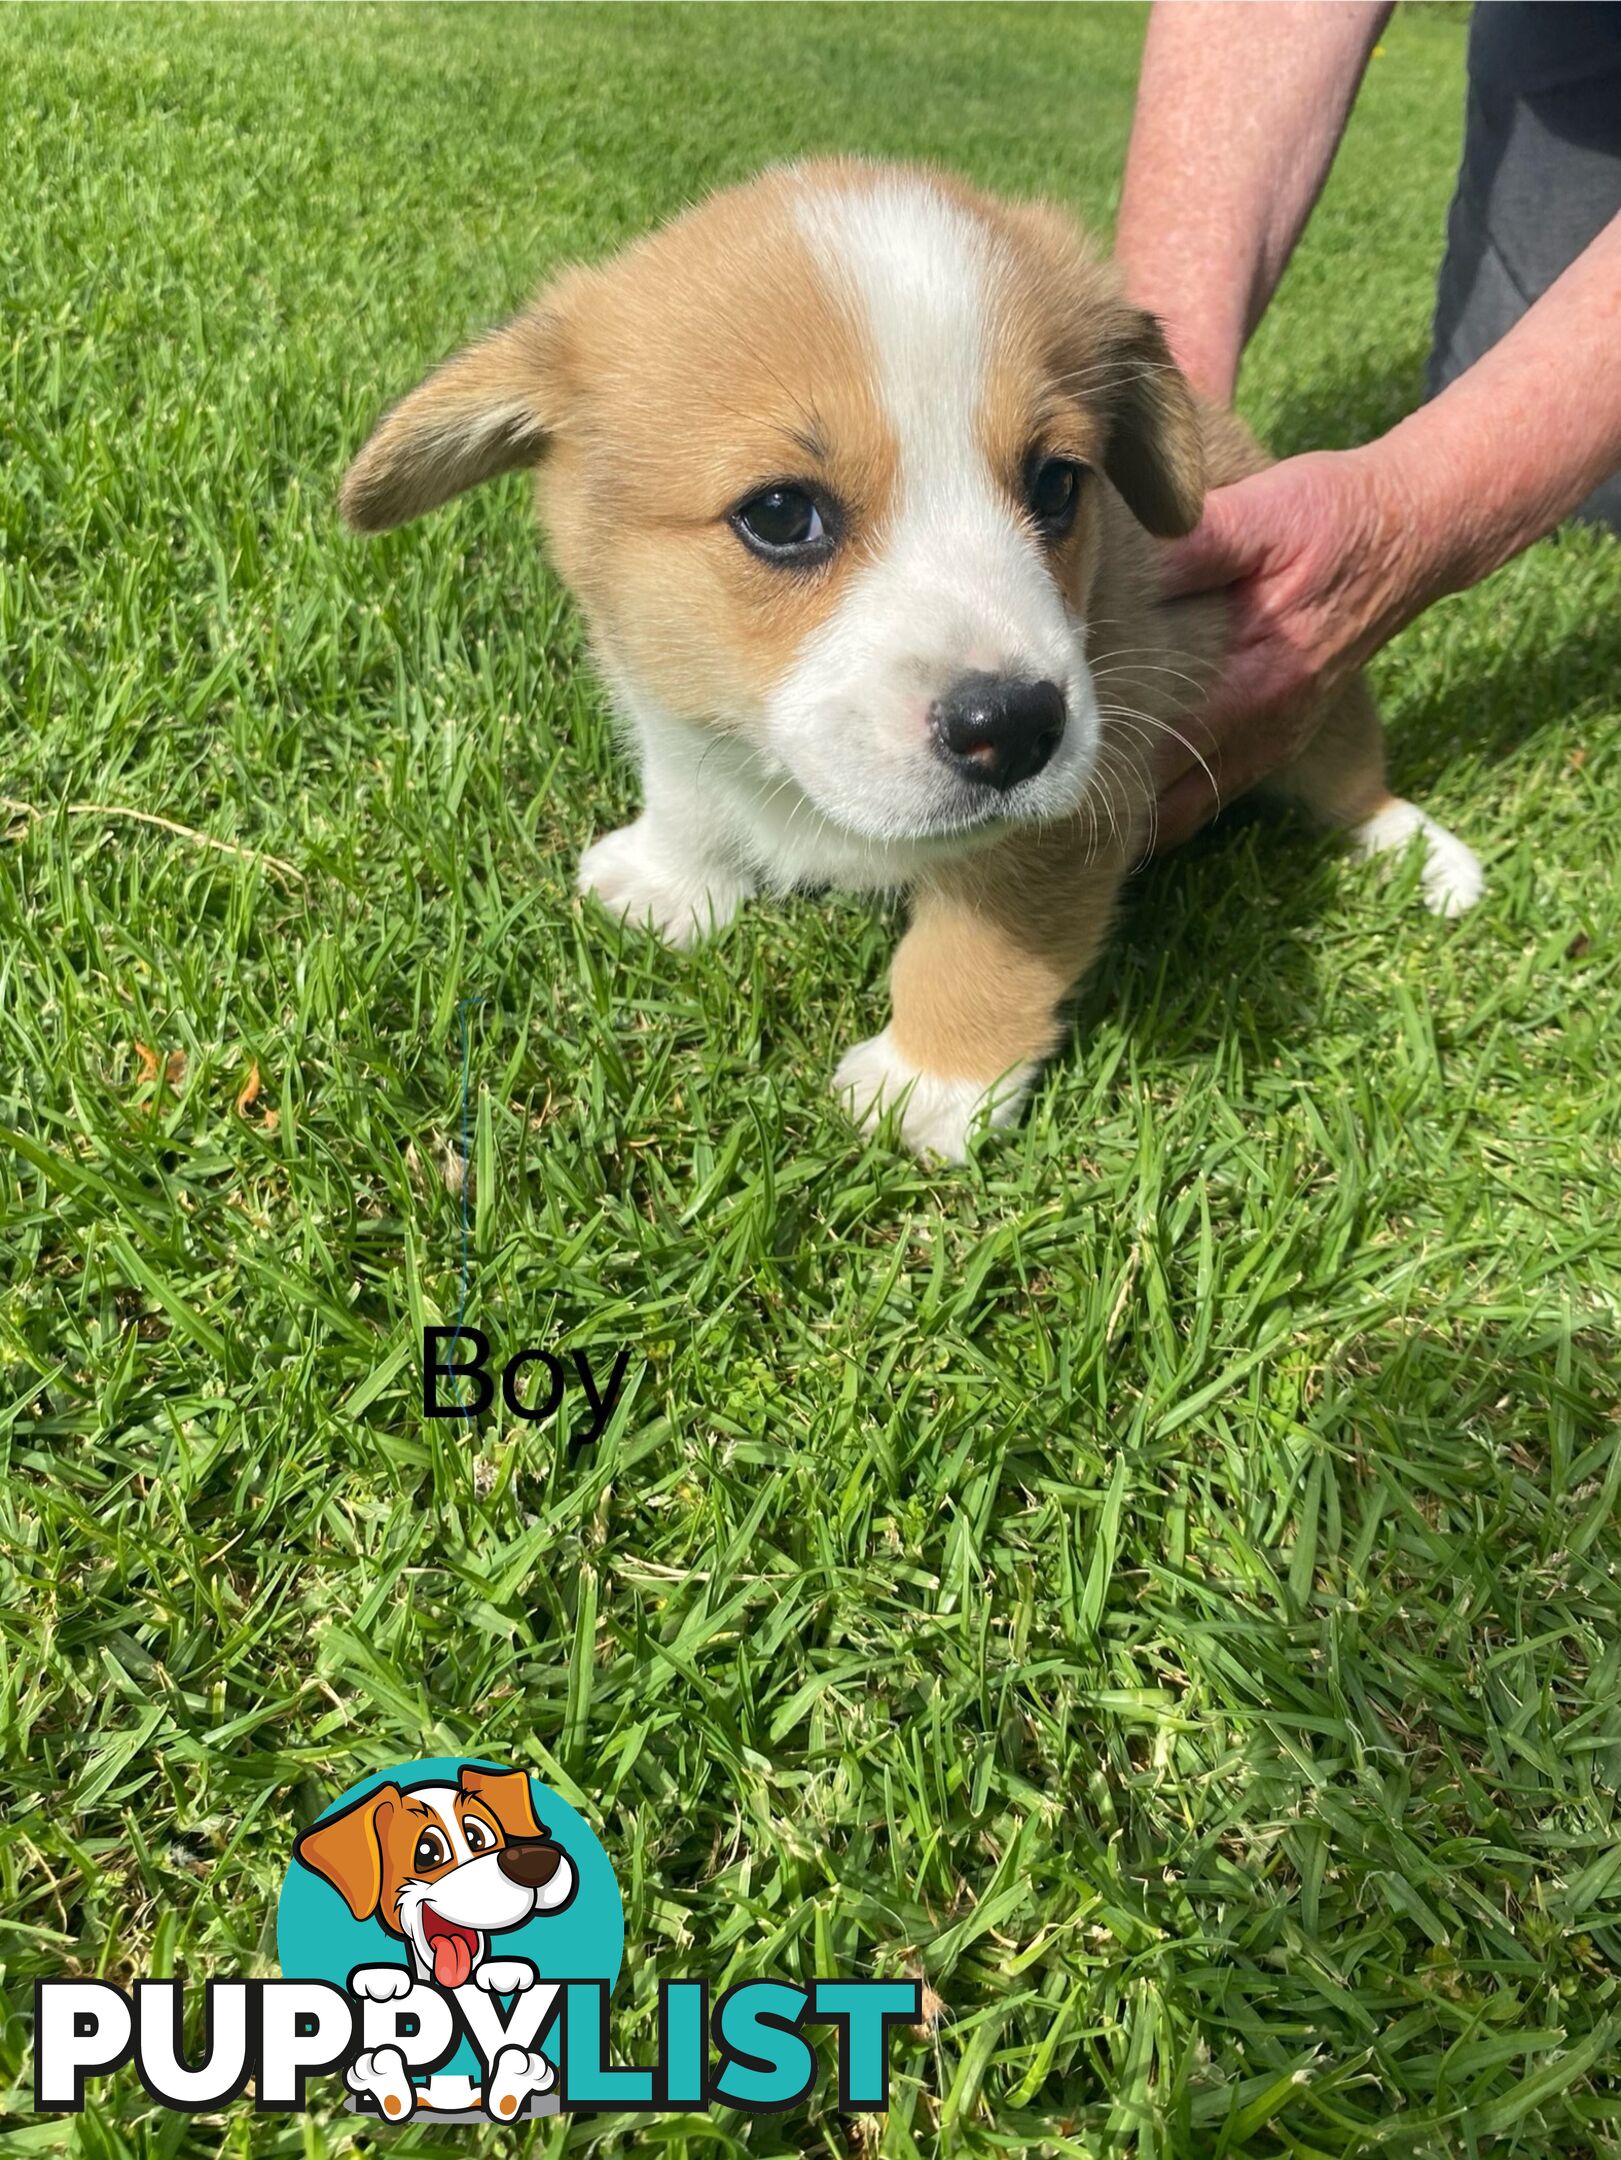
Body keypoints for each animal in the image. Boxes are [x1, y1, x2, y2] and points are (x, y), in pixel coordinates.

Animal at [343, 157, 1486, 1166]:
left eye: (1057, 484)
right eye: (780, 514)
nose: (1016, 729)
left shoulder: (1071, 808)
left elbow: (979, 950)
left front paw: (927, 1085)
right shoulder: (679, 712)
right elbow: (688, 795)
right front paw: (670, 880)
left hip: (1322, 700)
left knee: (1352, 780)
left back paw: (1427, 858)